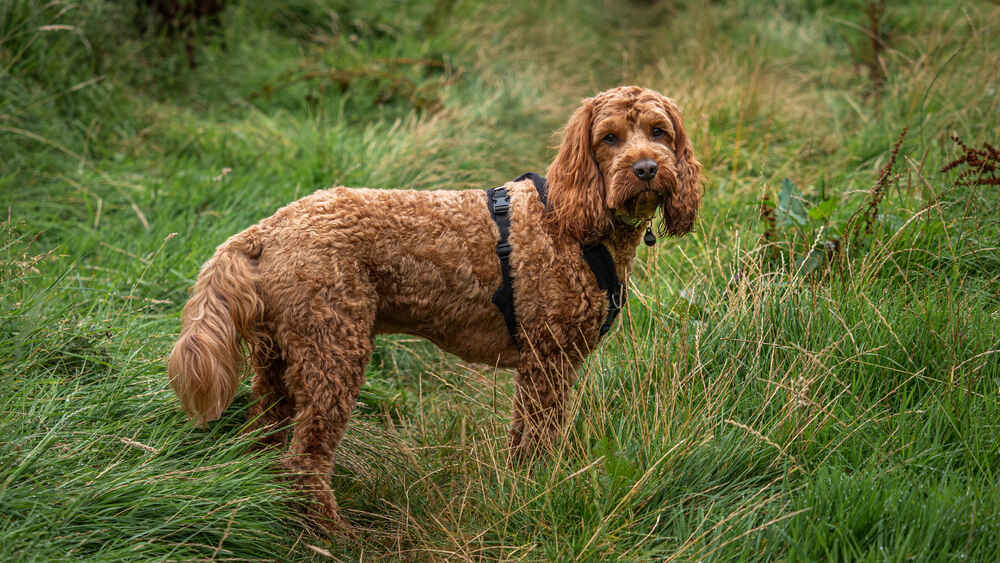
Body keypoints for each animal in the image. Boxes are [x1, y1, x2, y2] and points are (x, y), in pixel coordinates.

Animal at [168, 85, 704, 532]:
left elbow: (525, 438)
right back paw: (332, 534)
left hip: (278, 360)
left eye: (659, 131)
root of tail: (266, 230)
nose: (646, 168)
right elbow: (536, 439)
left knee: (266, 440)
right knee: (304, 459)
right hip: (332, 351)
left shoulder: (545, 363)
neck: (572, 225)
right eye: (609, 138)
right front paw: (538, 490)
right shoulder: (547, 360)